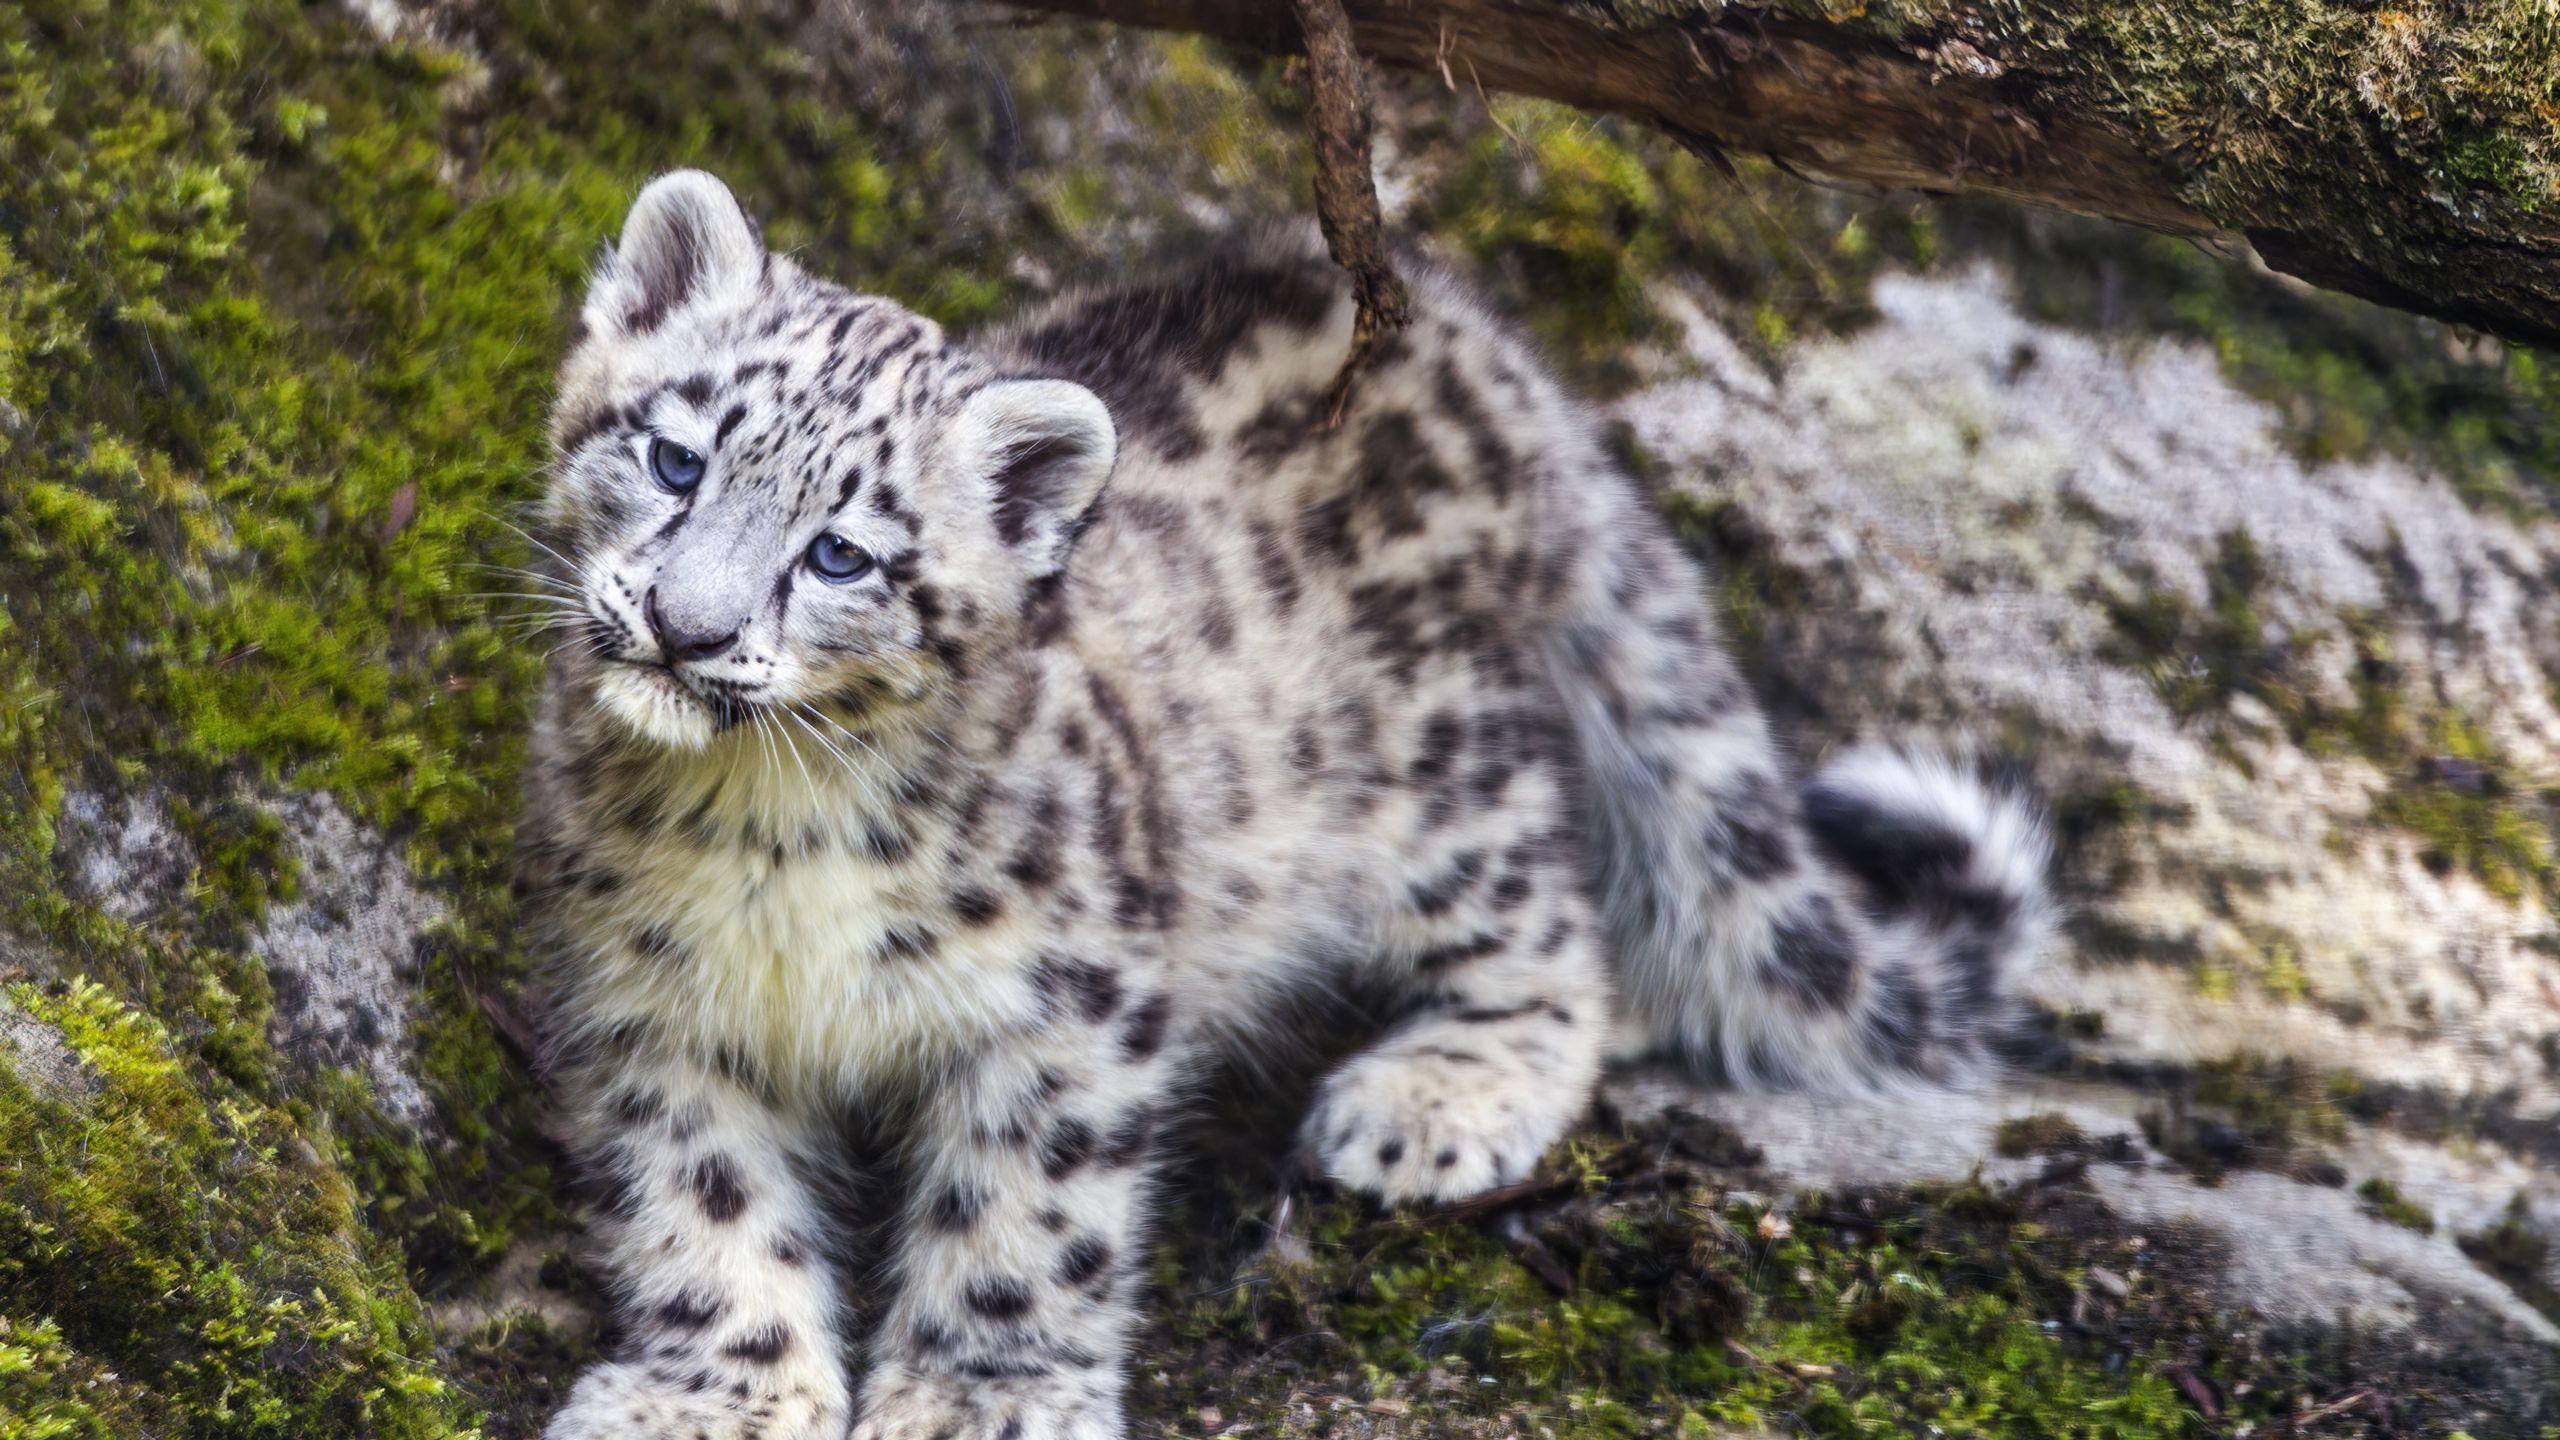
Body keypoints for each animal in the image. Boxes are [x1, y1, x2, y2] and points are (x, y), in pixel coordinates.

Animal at [516, 170, 2055, 1440]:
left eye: (842, 555)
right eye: (673, 459)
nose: (687, 628)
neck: (765, 828)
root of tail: (1484, 352)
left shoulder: (1072, 1002)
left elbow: (1028, 1214)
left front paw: (981, 1400)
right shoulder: (649, 1006)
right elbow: (701, 1204)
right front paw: (710, 1398)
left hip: (1436, 779)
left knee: (1554, 925)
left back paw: (1438, 1094)